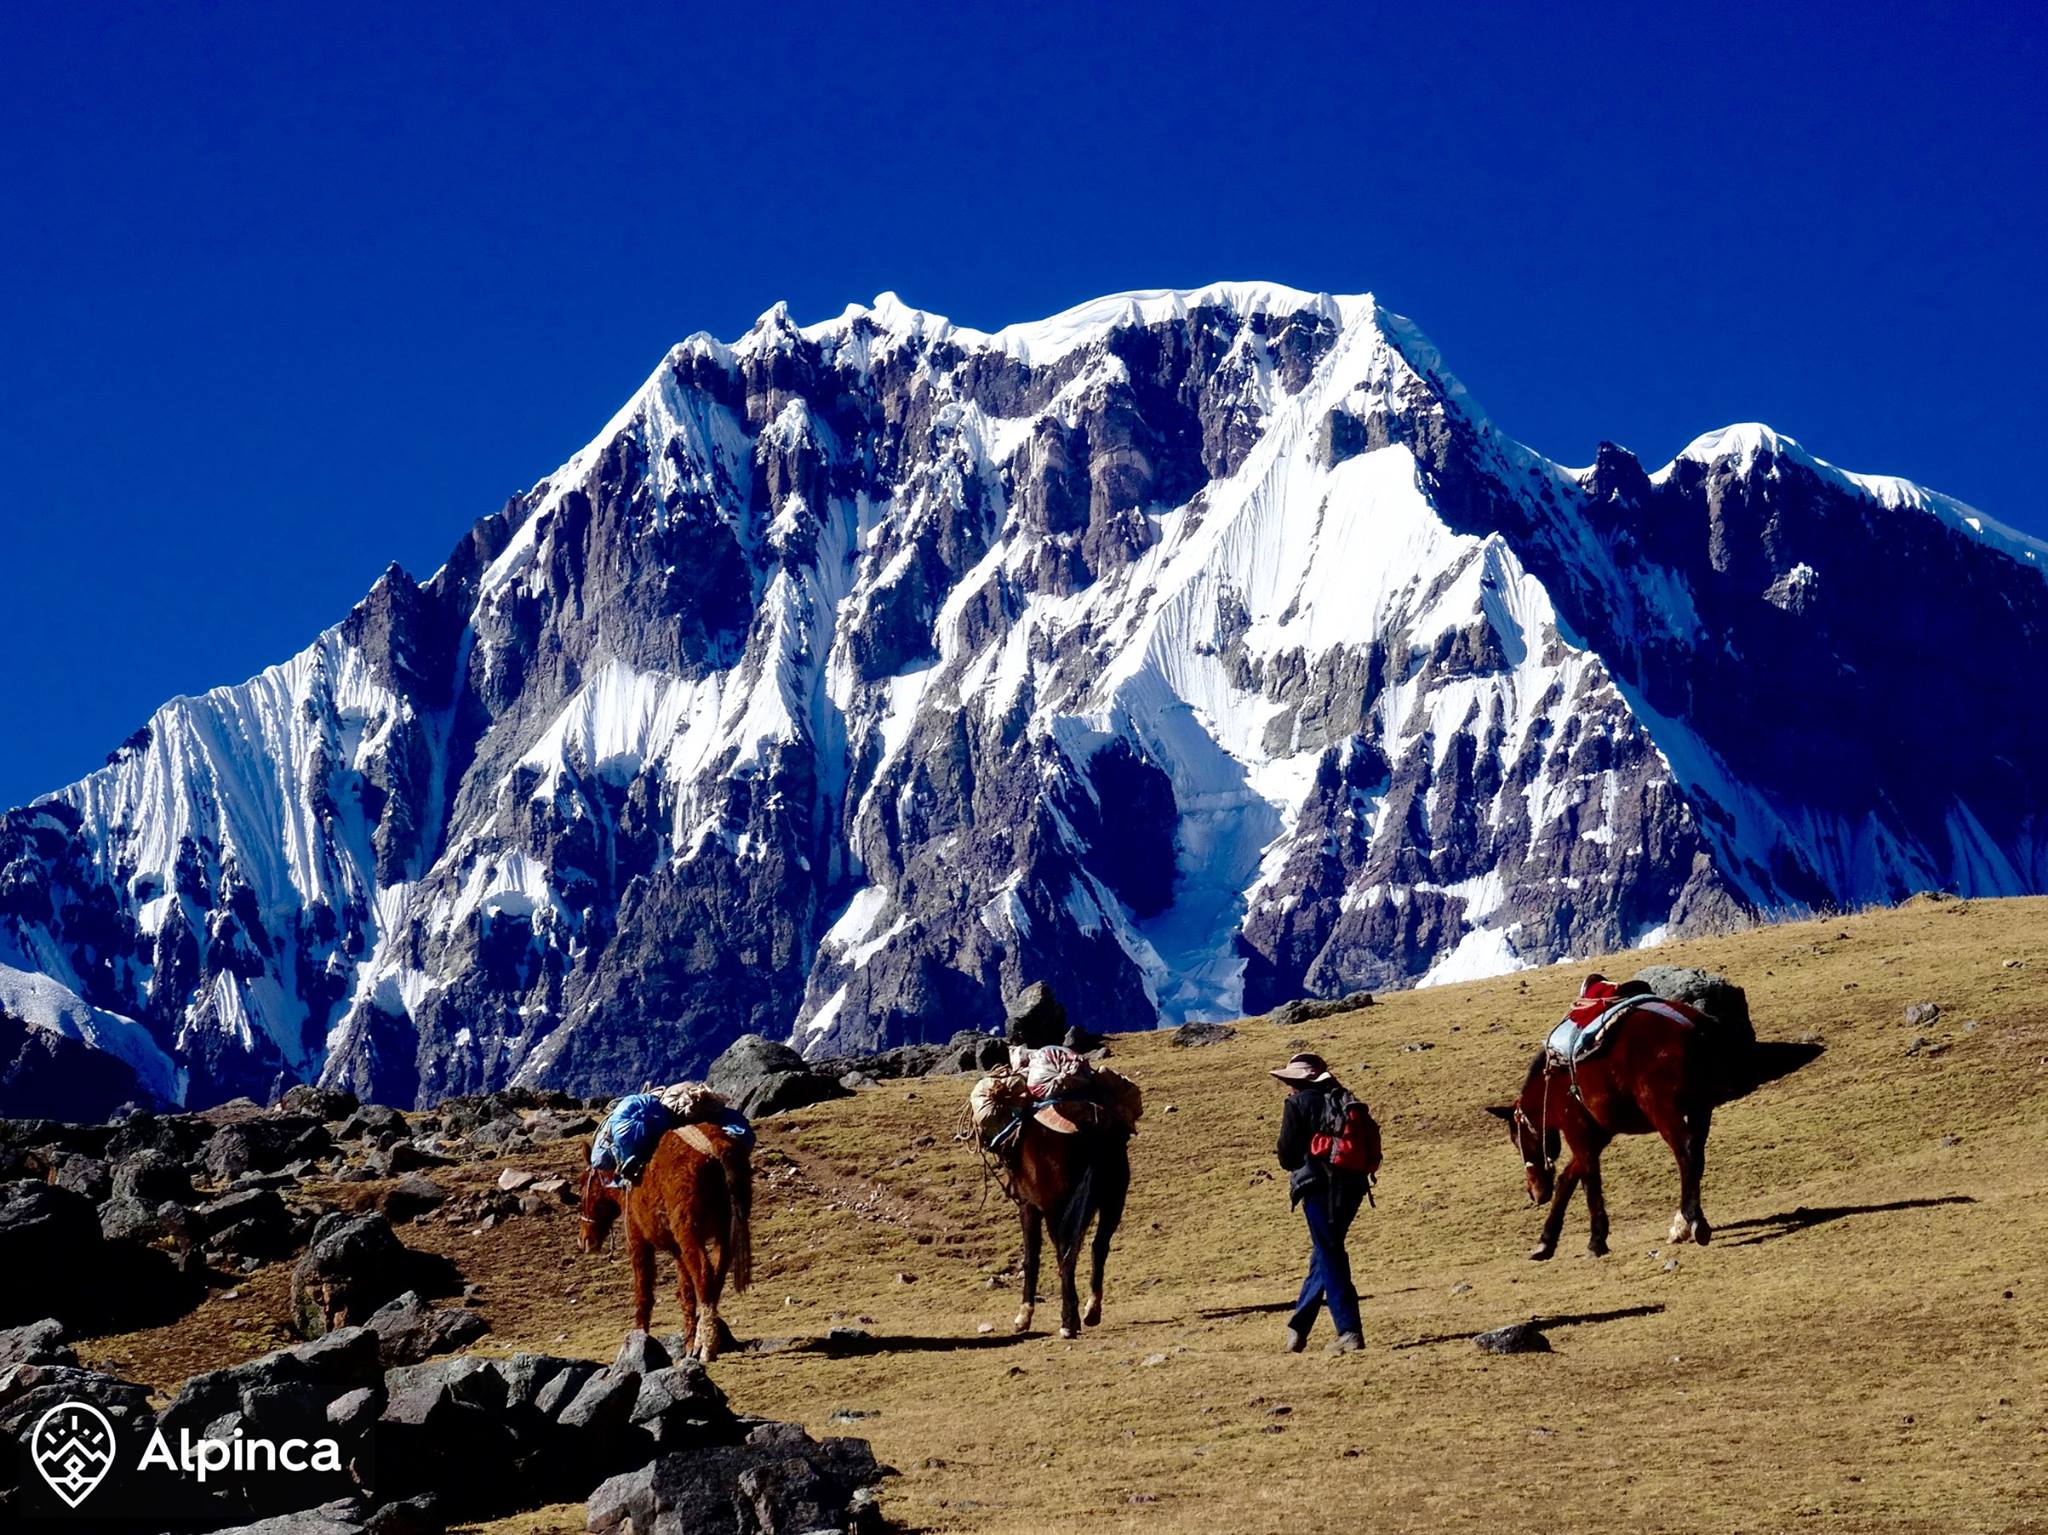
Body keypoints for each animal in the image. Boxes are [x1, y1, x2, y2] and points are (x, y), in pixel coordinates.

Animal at [577, 1121, 753, 1367]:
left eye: (581, 1186)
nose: (584, 1240)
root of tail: (714, 1148)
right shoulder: (678, 1250)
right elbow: (686, 1293)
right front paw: (688, 1346)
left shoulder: (638, 1242)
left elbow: (644, 1293)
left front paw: (638, 1338)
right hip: (721, 1233)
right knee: (715, 1276)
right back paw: (702, 1342)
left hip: (689, 1232)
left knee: (704, 1274)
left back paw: (707, 1348)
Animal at [995, 1113, 1130, 1342]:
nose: (1010, 1190)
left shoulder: (1028, 1206)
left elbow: (1031, 1258)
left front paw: (1023, 1317)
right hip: (1113, 1201)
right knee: (1098, 1247)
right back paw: (1091, 1311)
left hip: (1056, 1211)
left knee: (1066, 1256)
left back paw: (1068, 1322)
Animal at [1482, 1011, 1720, 1260]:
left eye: (1516, 1140)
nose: (1534, 1193)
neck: (1552, 1084)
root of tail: (1696, 1028)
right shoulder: (1598, 1134)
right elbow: (1567, 1179)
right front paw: (1546, 1242)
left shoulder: (1577, 1132)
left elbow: (1589, 1180)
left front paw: (1596, 1240)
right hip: (1700, 1109)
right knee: (1696, 1155)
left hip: (1665, 1113)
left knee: (1686, 1153)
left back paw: (1693, 1220)